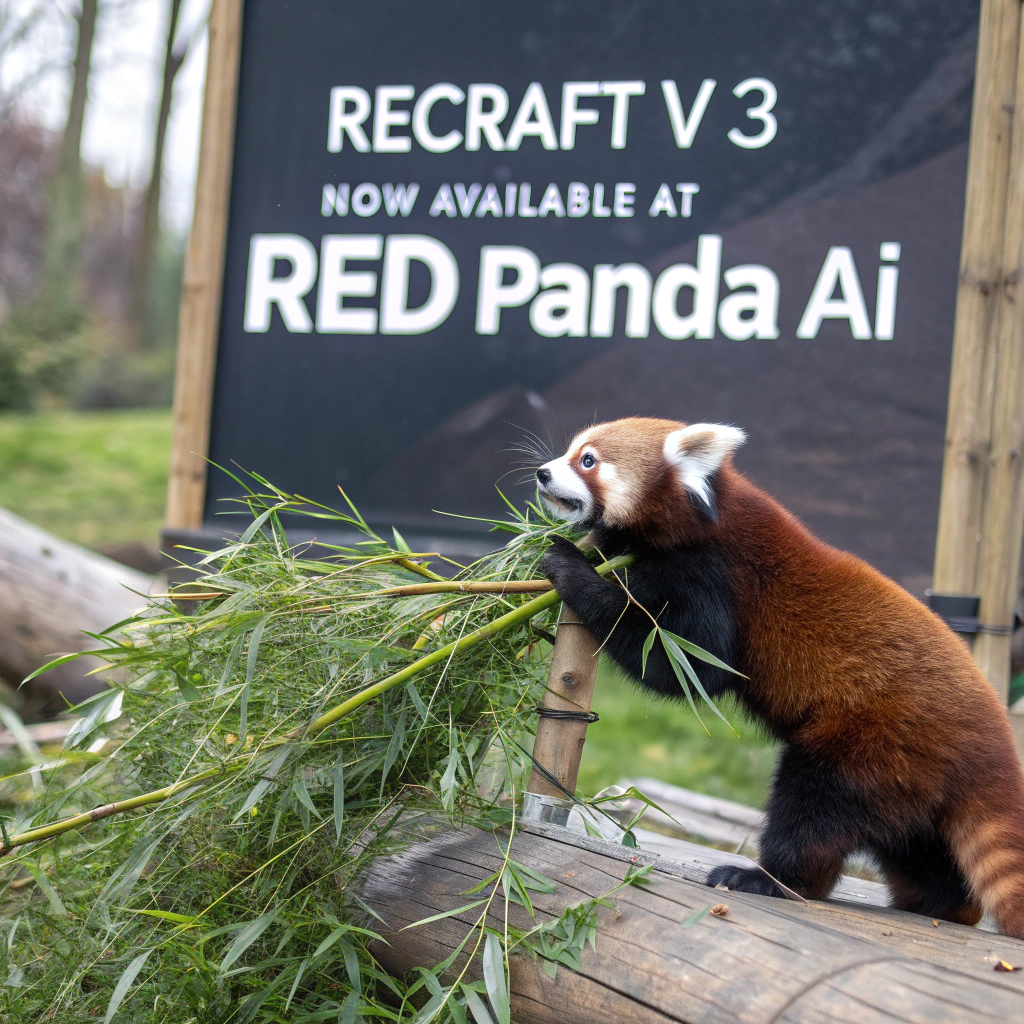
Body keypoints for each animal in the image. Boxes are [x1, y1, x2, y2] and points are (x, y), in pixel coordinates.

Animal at [535, 416, 1024, 937]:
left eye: (588, 460)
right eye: (570, 451)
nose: (543, 473)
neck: (702, 520)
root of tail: (992, 745)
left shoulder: (713, 576)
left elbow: (686, 664)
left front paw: (572, 569)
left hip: (871, 741)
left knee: (812, 809)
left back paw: (770, 878)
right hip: (916, 784)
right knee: (918, 849)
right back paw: (938, 905)